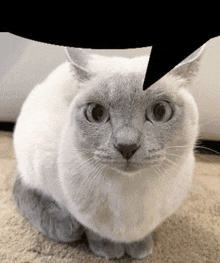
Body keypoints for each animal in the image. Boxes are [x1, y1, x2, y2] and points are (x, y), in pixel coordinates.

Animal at [12, 44, 205, 260]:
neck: (130, 193)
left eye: (160, 111)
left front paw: (140, 245)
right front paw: (108, 247)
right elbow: (93, 228)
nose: (126, 145)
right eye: (96, 113)